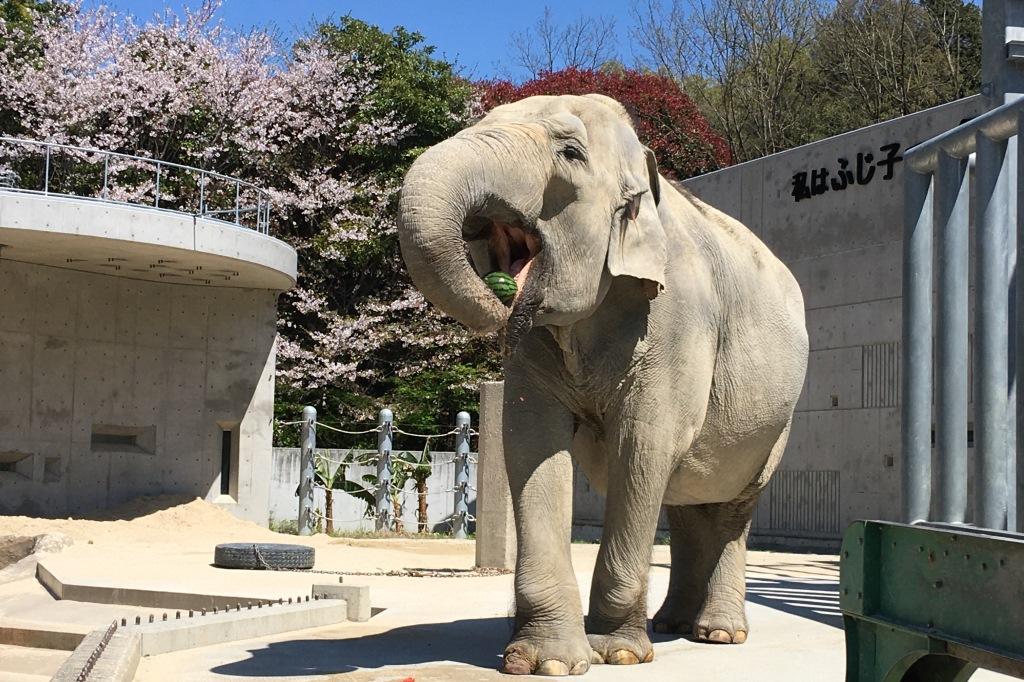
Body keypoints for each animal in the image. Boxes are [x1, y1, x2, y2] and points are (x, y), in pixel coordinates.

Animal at [397, 93, 806, 671]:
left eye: (570, 152)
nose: (496, 302)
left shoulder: (677, 324)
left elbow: (643, 446)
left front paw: (617, 653)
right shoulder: (534, 348)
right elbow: (529, 442)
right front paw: (545, 661)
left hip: (778, 421)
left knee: (731, 506)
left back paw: (718, 634)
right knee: (684, 502)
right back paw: (672, 624)